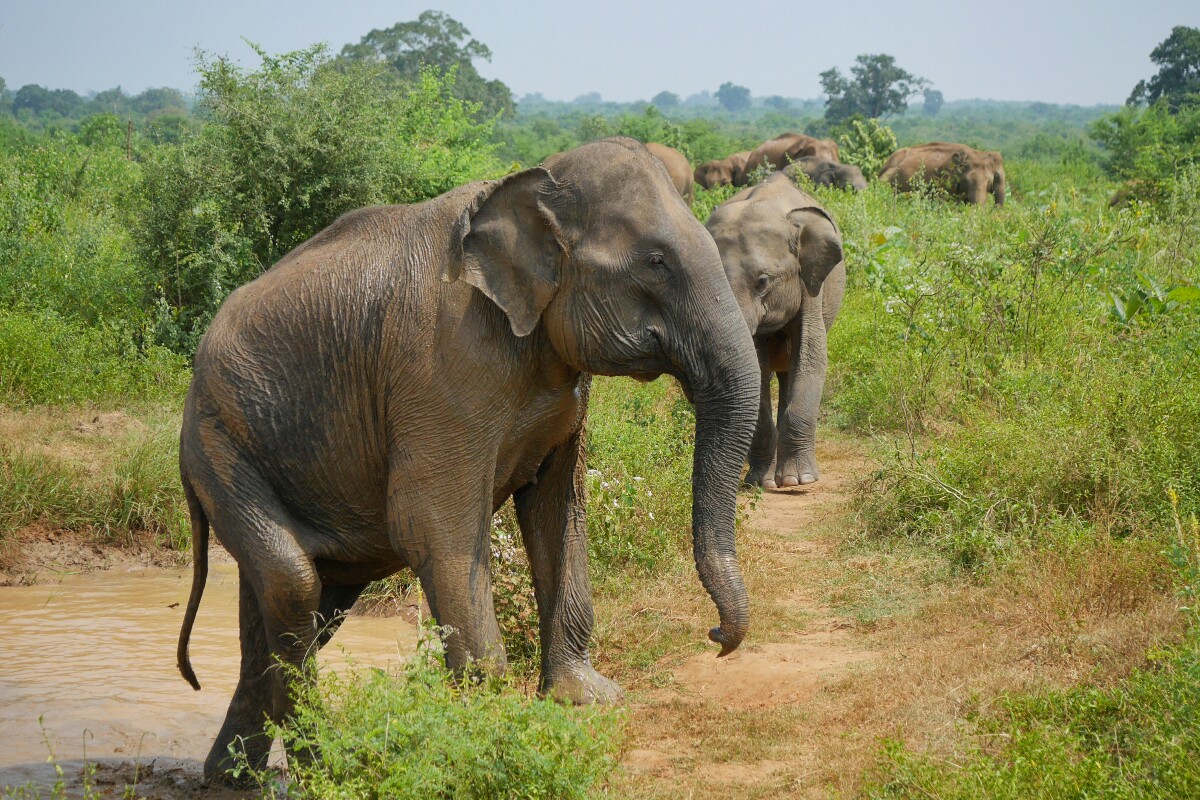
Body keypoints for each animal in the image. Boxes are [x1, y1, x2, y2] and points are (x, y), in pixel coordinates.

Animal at [175, 136, 758, 782]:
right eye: (656, 262)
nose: (716, 635)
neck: (533, 184)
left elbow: (557, 511)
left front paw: (586, 702)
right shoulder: (441, 360)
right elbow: (431, 522)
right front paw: (489, 732)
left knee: (300, 604)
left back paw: (230, 781)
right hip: (218, 444)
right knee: (294, 583)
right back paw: (321, 770)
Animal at [705, 173, 849, 489]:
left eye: (762, 282)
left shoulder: (810, 285)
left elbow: (811, 357)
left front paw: (798, 481)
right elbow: (757, 370)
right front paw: (763, 482)